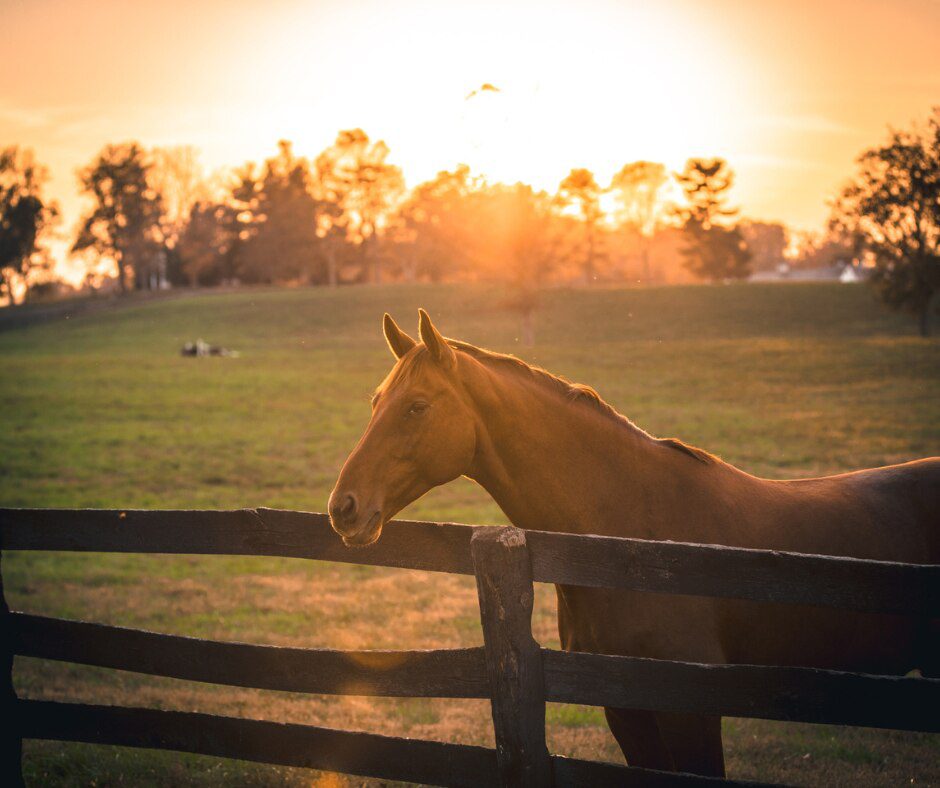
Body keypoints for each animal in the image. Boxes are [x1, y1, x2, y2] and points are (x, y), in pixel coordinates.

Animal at [328, 309, 940, 776]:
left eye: (417, 406)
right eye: (376, 400)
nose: (343, 507)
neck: (632, 546)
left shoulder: (690, 714)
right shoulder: (625, 710)